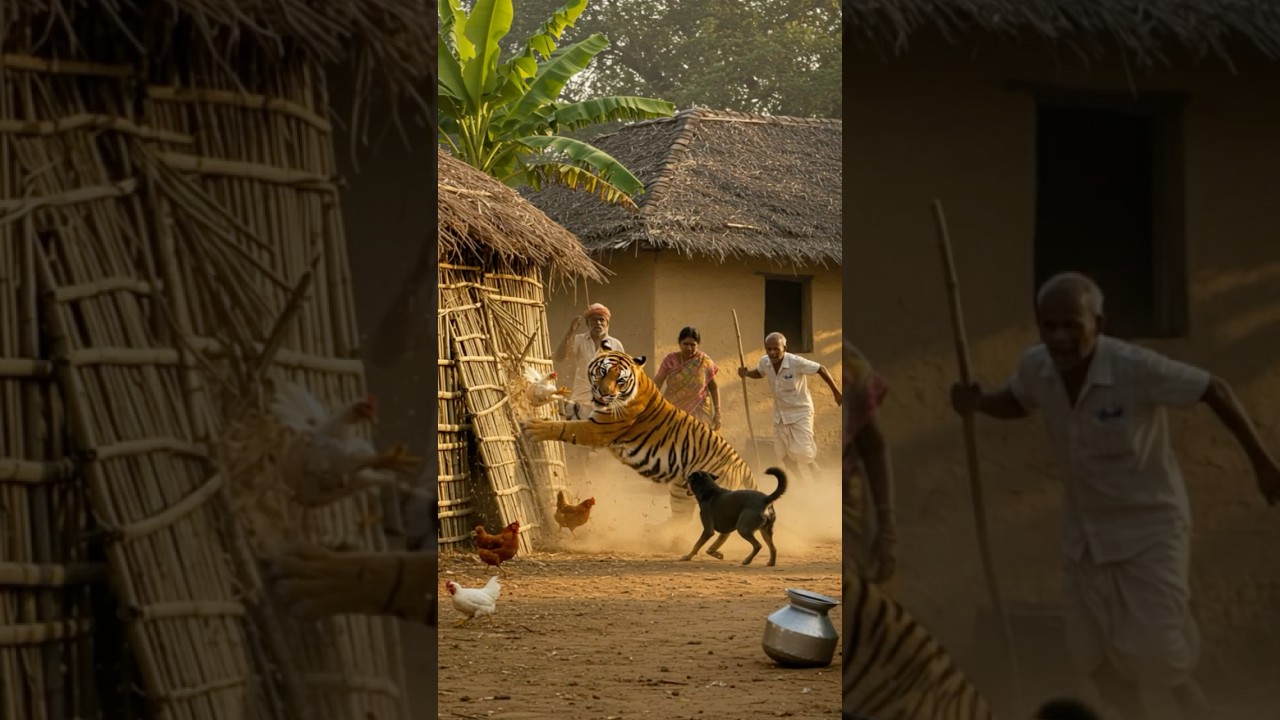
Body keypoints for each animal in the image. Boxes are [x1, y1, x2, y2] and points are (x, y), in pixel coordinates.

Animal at [520, 342, 759, 520]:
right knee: (681, 518)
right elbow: (567, 406)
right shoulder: (591, 413)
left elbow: (564, 428)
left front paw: (533, 427)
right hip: (681, 490)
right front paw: (542, 396)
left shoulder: (598, 428)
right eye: (603, 371)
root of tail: (742, 463)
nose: (604, 393)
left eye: (620, 379)